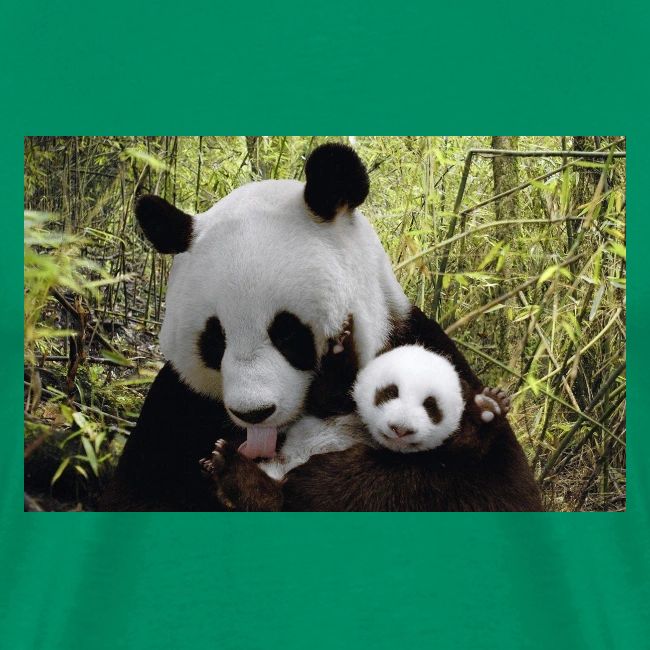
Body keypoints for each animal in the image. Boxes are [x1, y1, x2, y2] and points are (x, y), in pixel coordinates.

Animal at [100, 143, 540, 512]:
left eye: (287, 333)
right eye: (215, 340)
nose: (254, 413)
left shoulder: (421, 346)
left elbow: (488, 488)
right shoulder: (178, 404)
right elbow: (138, 493)